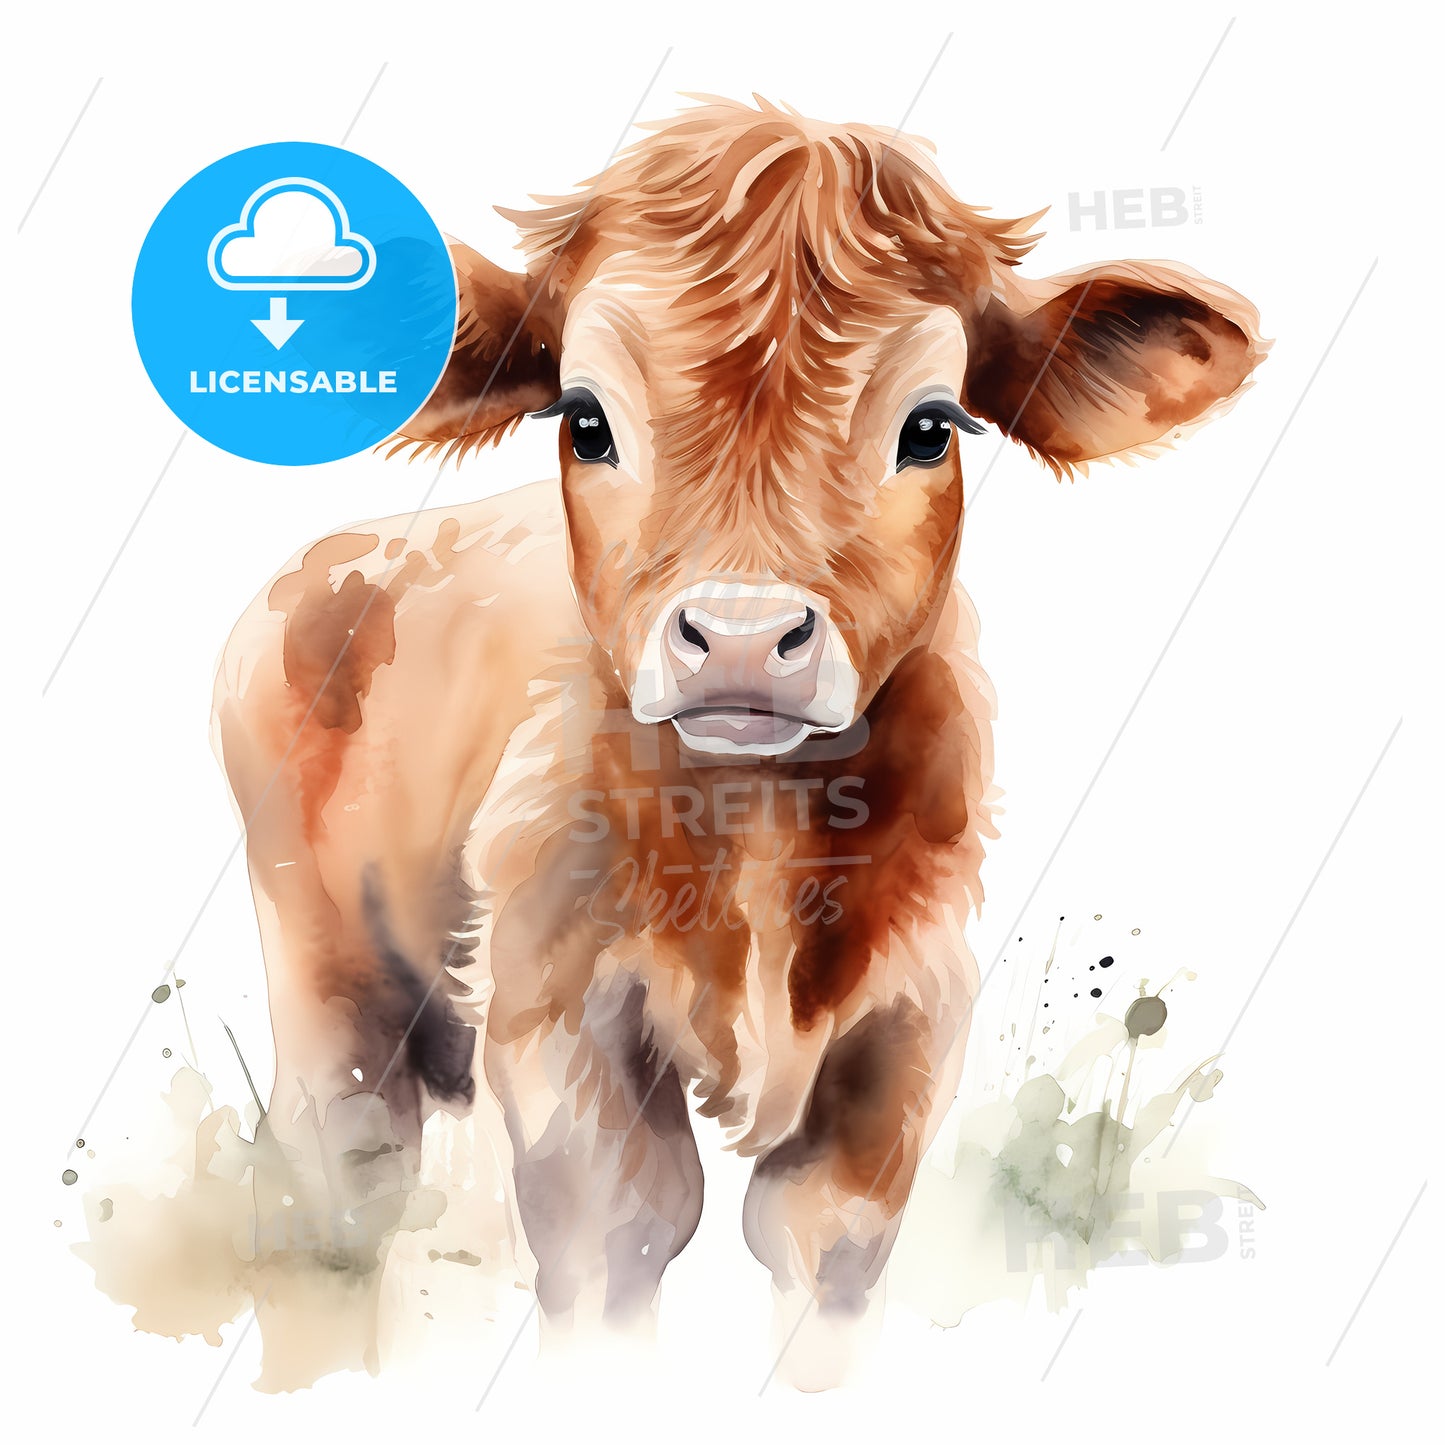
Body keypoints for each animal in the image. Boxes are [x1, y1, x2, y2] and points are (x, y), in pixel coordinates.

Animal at [212, 97, 1264, 1386]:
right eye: (584, 420)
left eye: (930, 427)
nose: (745, 640)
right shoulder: (555, 1009)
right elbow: (618, 1240)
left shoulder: (906, 1027)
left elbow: (824, 1253)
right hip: (327, 986)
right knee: (343, 1183)